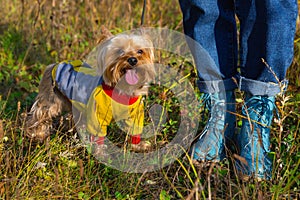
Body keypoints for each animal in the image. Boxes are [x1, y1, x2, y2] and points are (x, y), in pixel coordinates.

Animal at [25, 31, 155, 153]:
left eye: (140, 51)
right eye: (119, 51)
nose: (132, 60)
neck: (123, 89)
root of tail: (55, 64)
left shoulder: (135, 114)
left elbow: (135, 130)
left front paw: (139, 146)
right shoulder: (98, 115)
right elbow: (98, 135)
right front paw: (100, 153)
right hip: (50, 98)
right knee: (40, 114)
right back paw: (37, 135)